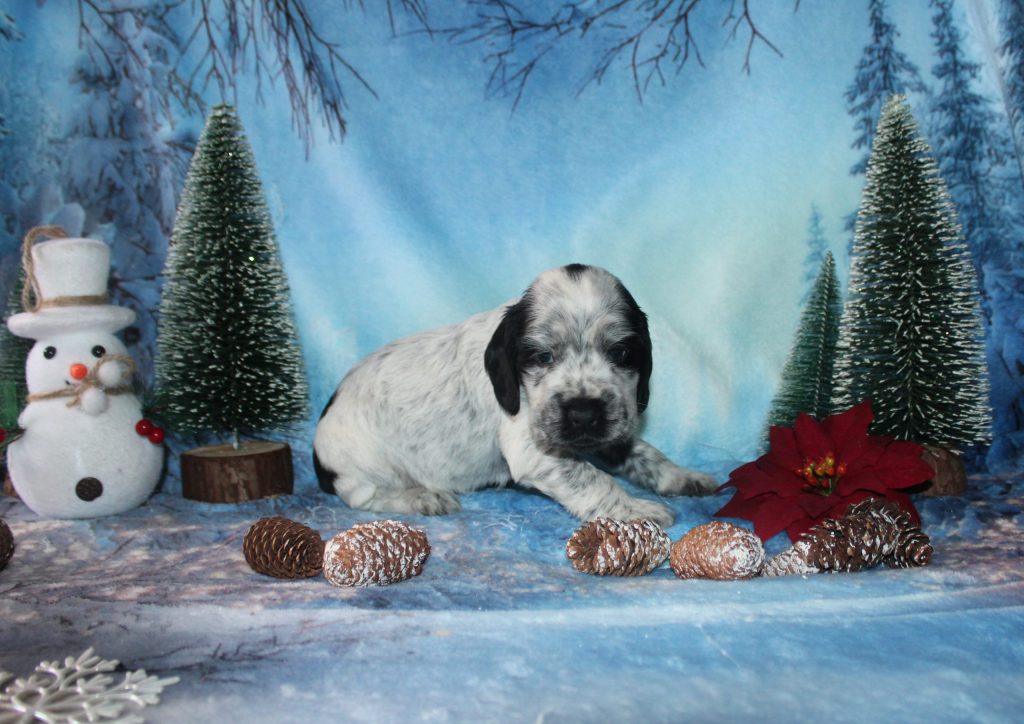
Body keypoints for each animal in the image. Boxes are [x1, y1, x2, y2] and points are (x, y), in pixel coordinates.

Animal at [313, 264, 715, 525]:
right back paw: (421, 497)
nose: (583, 414)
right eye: (542, 357)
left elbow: (644, 454)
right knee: (365, 498)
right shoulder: (535, 450)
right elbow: (595, 479)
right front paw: (636, 510)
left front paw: (681, 476)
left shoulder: (611, 425)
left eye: (620, 353)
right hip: (367, 465)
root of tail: (319, 459)